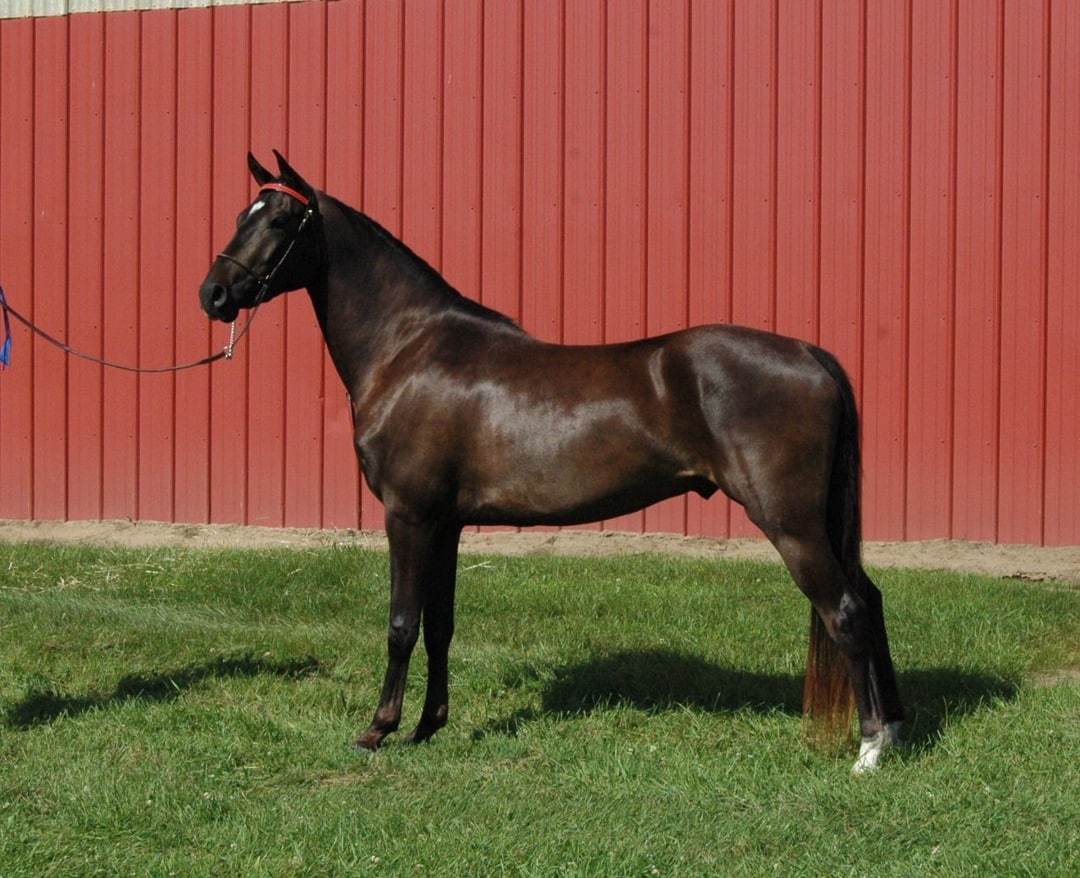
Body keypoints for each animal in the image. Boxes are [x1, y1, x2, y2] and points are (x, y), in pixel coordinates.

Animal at [199, 152, 903, 772]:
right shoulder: (446, 524)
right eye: (240, 213)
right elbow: (440, 625)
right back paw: (895, 727)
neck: (410, 348)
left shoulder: (409, 516)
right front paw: (430, 727)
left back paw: (869, 749)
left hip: (791, 524)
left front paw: (378, 731)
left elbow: (402, 623)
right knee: (869, 599)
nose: (214, 293)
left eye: (280, 221)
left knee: (845, 610)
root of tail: (809, 354)